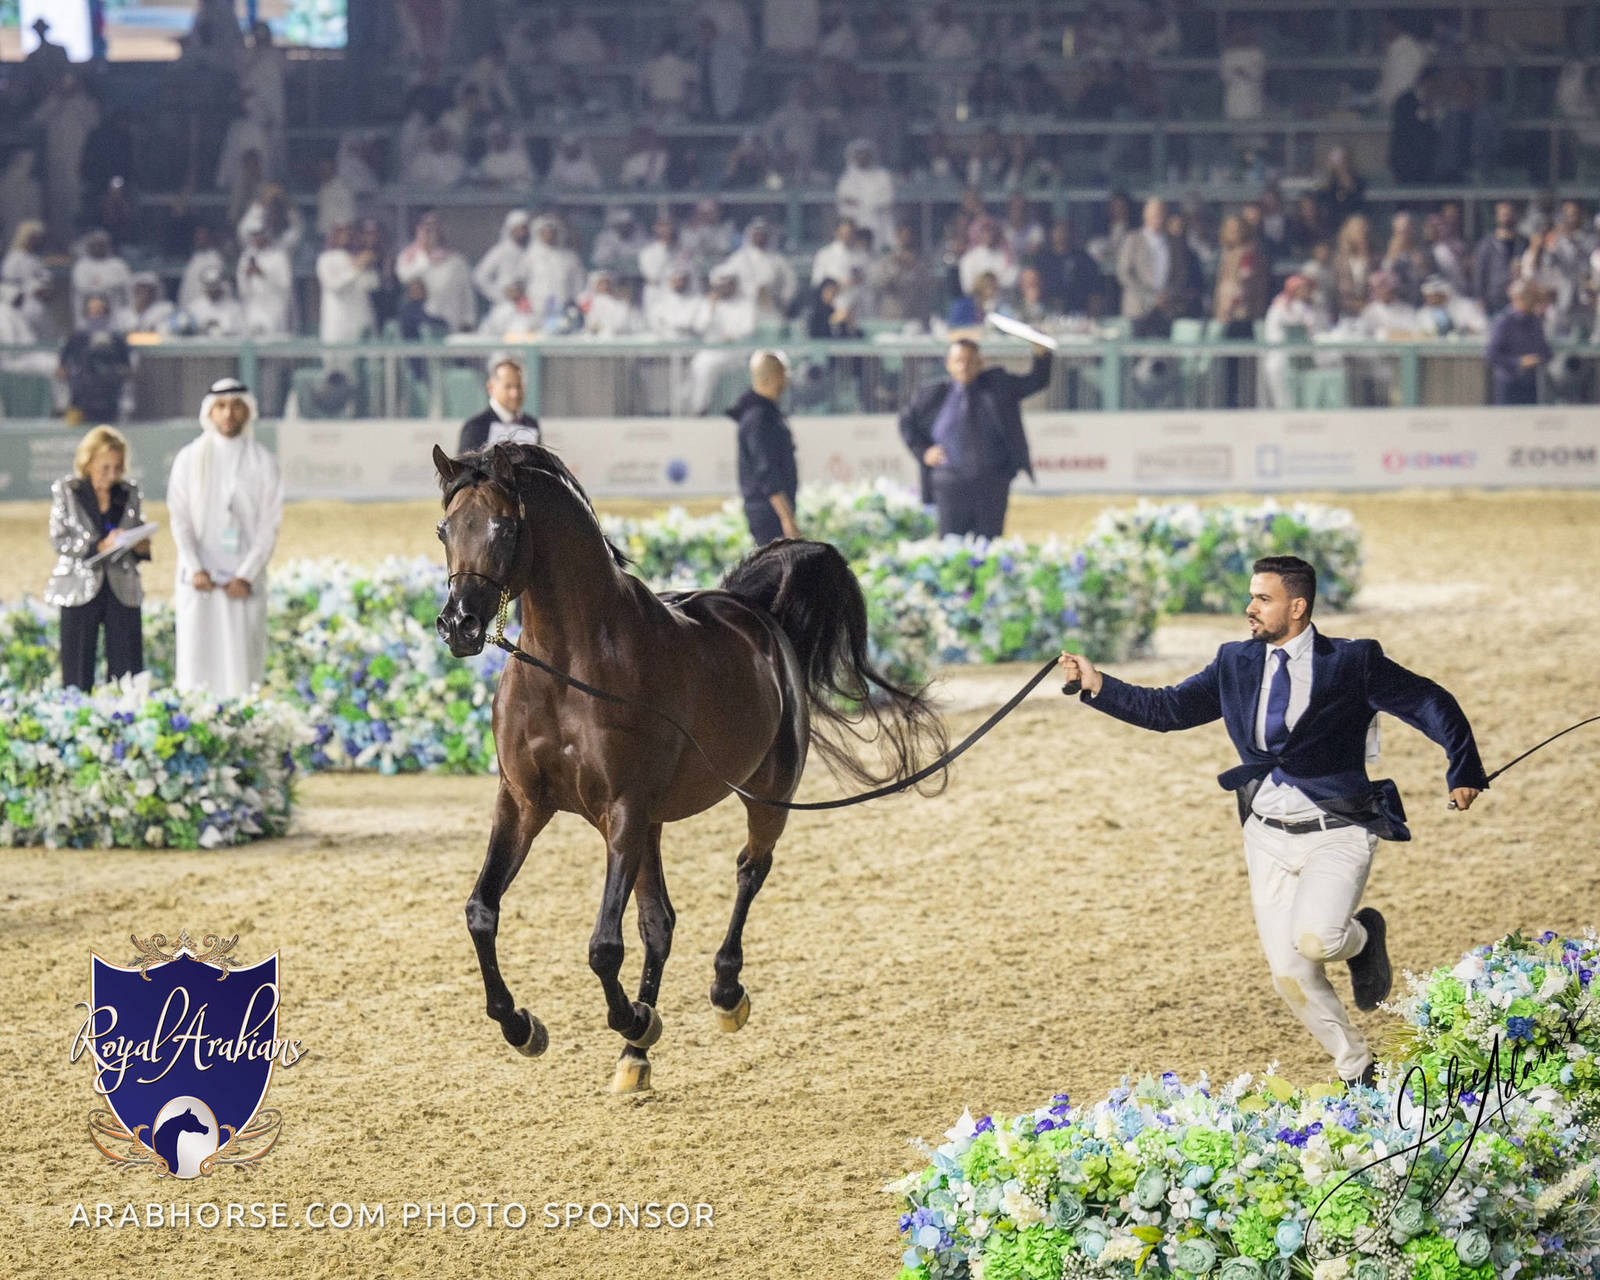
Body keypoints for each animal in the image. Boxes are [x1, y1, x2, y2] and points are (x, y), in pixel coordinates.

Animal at [432, 442, 948, 1093]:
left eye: (503, 526)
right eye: (445, 529)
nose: (458, 626)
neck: (570, 669)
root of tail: (754, 611)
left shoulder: (622, 811)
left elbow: (603, 947)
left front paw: (635, 1018)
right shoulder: (524, 803)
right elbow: (482, 912)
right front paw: (523, 1027)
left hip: (765, 794)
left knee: (750, 870)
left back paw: (723, 996)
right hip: (652, 826)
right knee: (660, 921)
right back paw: (634, 1057)